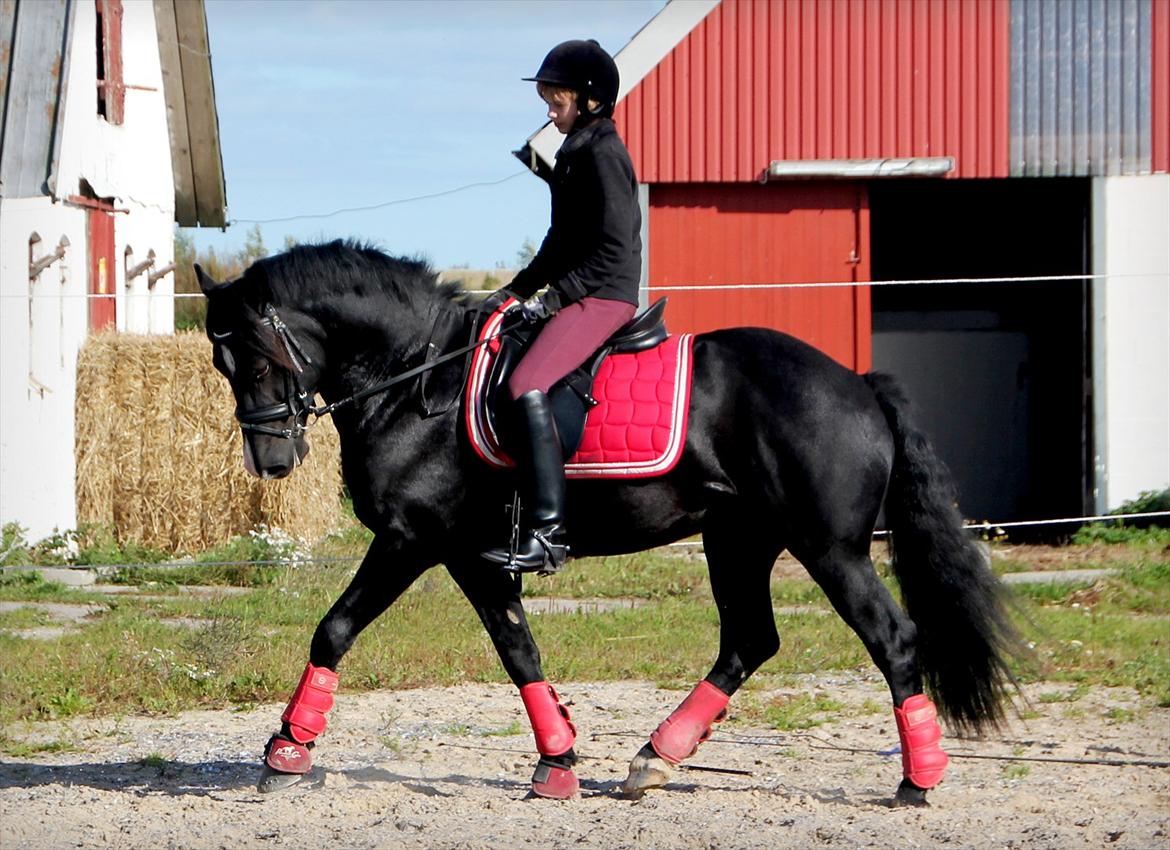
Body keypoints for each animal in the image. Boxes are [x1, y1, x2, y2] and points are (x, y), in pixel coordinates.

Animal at [196, 240, 1020, 805]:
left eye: (261, 360)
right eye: (221, 369)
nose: (272, 461)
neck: (418, 379)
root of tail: (857, 382)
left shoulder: (410, 540)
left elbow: (334, 628)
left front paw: (285, 752)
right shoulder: (471, 554)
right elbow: (518, 651)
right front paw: (557, 763)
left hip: (829, 548)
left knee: (892, 638)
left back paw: (918, 780)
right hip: (738, 539)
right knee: (750, 640)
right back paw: (655, 757)